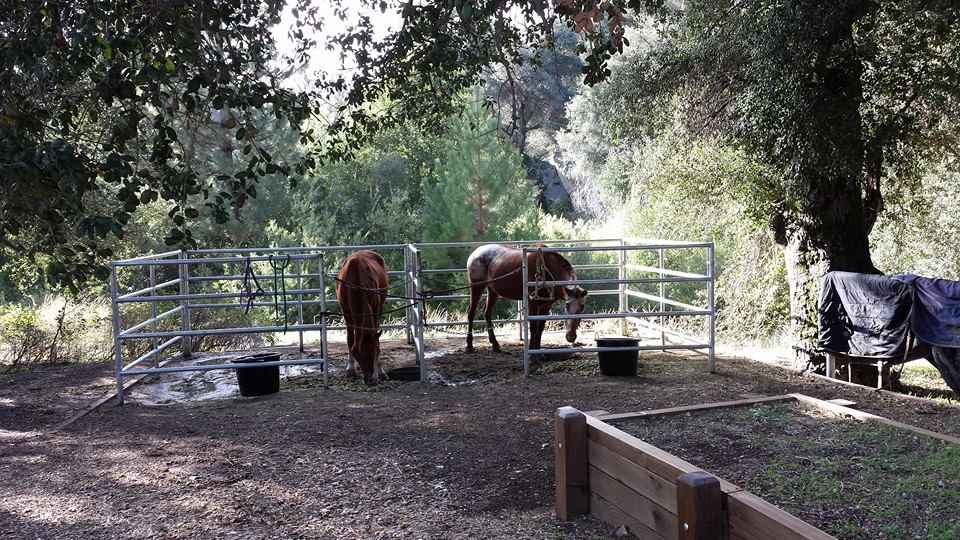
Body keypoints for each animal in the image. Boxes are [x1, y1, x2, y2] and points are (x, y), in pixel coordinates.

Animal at [336, 250, 389, 385]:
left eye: (375, 353)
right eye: (362, 356)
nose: (371, 380)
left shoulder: (375, 310)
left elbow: (376, 339)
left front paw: (380, 371)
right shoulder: (346, 312)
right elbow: (350, 339)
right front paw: (350, 369)